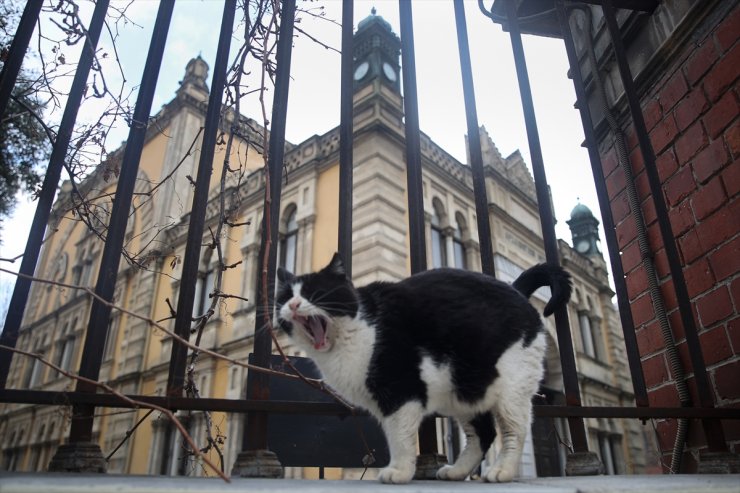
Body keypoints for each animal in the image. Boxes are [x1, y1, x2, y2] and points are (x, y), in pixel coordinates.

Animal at [274, 254, 568, 484]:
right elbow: (394, 435)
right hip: (465, 391)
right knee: (483, 434)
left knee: (513, 430)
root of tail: (516, 289)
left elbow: (399, 437)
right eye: (286, 297)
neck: (357, 330)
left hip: (511, 389)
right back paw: (457, 471)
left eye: (313, 293)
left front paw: (400, 471)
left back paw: (502, 471)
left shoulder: (401, 393)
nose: (294, 305)